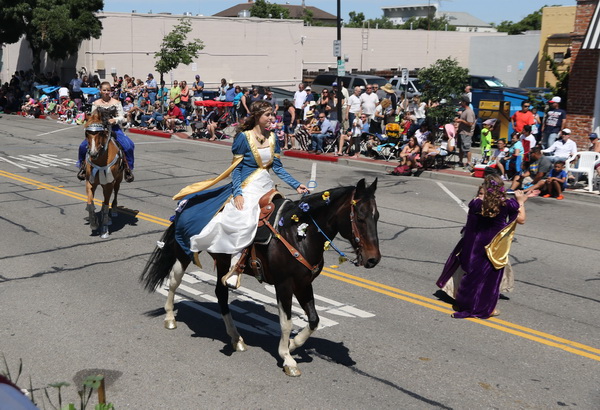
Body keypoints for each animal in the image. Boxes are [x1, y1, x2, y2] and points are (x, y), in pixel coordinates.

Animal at [83, 108, 124, 238]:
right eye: (87, 133)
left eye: (101, 133)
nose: (93, 153)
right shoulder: (90, 182)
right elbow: (90, 204)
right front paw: (94, 223)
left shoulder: (109, 184)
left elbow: (106, 206)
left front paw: (104, 229)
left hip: (118, 180)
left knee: (116, 193)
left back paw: (114, 211)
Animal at [140, 178, 381, 376]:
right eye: (360, 217)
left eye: (376, 216)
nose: (373, 259)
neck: (299, 233)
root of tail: (188, 201)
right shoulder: (284, 285)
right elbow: (286, 322)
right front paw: (287, 358)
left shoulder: (304, 284)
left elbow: (314, 320)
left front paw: (293, 345)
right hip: (184, 253)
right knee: (174, 282)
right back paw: (170, 318)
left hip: (224, 262)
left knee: (221, 294)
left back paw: (235, 338)